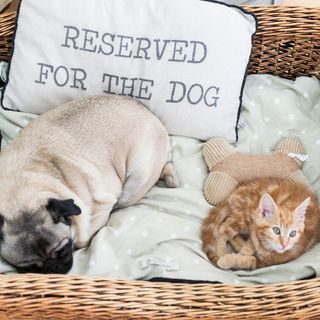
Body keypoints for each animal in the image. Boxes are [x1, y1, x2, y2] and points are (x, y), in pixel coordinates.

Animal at [0, 94, 178, 274]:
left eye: (63, 249)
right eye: (27, 268)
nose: (51, 269)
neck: (17, 191)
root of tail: (151, 115)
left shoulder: (100, 209)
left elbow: (82, 240)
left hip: (135, 181)